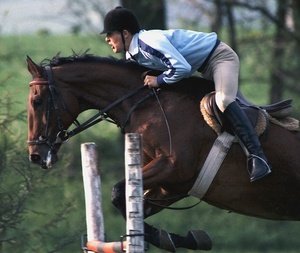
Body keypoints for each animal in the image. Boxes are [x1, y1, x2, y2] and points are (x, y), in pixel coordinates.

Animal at [25, 52, 300, 251]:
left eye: (37, 101)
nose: (36, 156)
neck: (145, 105)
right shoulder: (172, 186)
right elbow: (132, 204)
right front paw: (184, 239)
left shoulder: (173, 167)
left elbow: (118, 192)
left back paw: (259, 165)